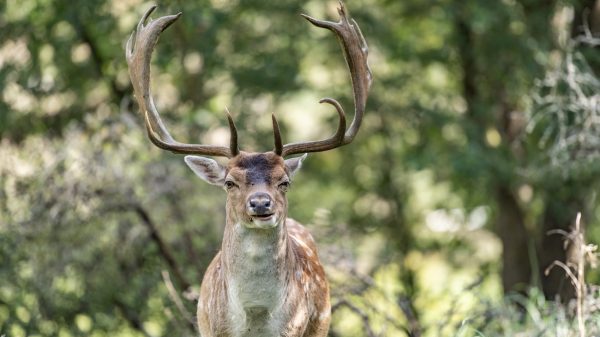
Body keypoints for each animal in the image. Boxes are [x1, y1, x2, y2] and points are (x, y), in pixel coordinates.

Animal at [125, 1, 370, 334]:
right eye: (230, 182)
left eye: (284, 181)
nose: (261, 203)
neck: (255, 317)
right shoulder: (211, 328)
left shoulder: (294, 329)